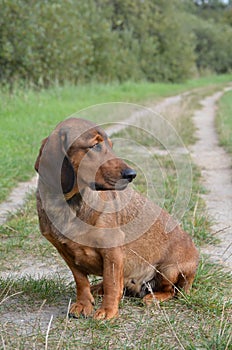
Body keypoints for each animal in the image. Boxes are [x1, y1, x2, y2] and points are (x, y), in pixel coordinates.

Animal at [35, 117, 198, 320]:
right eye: (95, 145)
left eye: (111, 145)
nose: (132, 174)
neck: (70, 203)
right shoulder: (65, 252)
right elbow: (81, 281)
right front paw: (83, 304)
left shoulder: (112, 250)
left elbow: (112, 284)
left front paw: (108, 311)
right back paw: (97, 289)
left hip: (170, 269)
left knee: (171, 290)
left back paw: (153, 297)